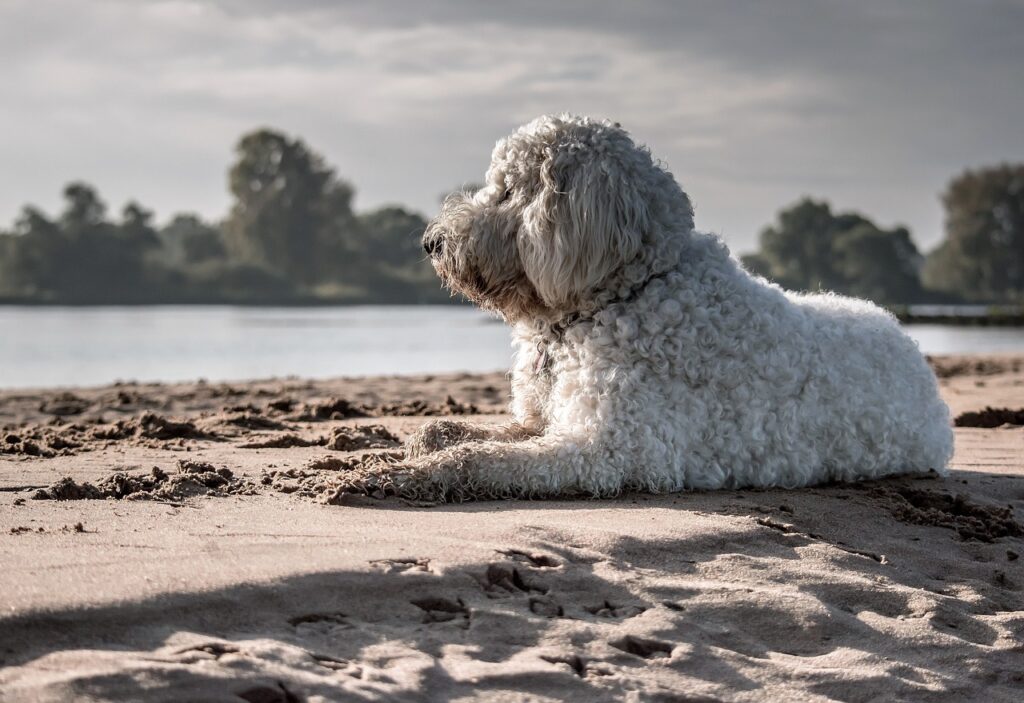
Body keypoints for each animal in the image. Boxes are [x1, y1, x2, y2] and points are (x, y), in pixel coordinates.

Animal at [339, 114, 954, 501]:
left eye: (511, 190)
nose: (432, 242)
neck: (623, 292)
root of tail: (906, 339)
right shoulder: (544, 420)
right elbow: (471, 432)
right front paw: (422, 440)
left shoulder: (609, 449)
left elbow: (480, 460)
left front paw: (401, 475)